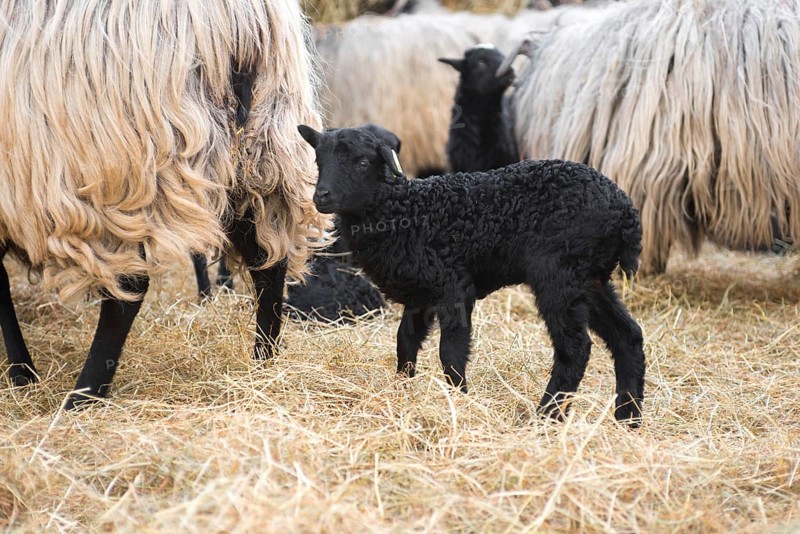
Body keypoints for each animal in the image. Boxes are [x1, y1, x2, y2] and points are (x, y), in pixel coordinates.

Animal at [0, 0, 326, 409]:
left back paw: (83, 396)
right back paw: (263, 365)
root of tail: (240, 22)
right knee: (269, 263)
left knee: (130, 287)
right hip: (263, 149)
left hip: (119, 161)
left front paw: (21, 374)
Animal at [297, 124, 646, 424]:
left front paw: (459, 399)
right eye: (318, 160)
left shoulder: (453, 287)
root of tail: (626, 211)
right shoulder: (420, 295)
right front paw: (403, 388)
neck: (405, 212)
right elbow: (405, 342)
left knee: (575, 348)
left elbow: (450, 351)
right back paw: (628, 419)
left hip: (559, 274)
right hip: (590, 279)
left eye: (362, 163)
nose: (322, 196)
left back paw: (546, 417)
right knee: (627, 337)